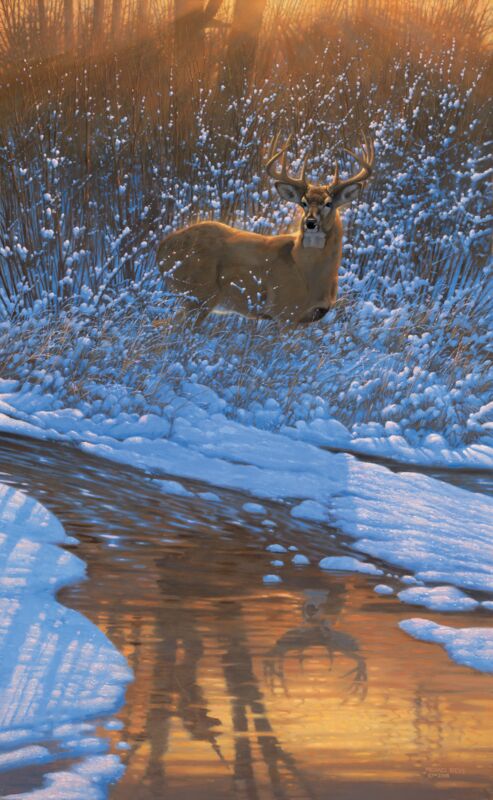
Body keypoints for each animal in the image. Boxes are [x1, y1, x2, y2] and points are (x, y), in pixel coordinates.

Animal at [157, 136, 372, 324]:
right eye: (303, 202)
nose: (310, 223)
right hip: (199, 294)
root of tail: (162, 248)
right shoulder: (284, 311)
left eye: (328, 203)